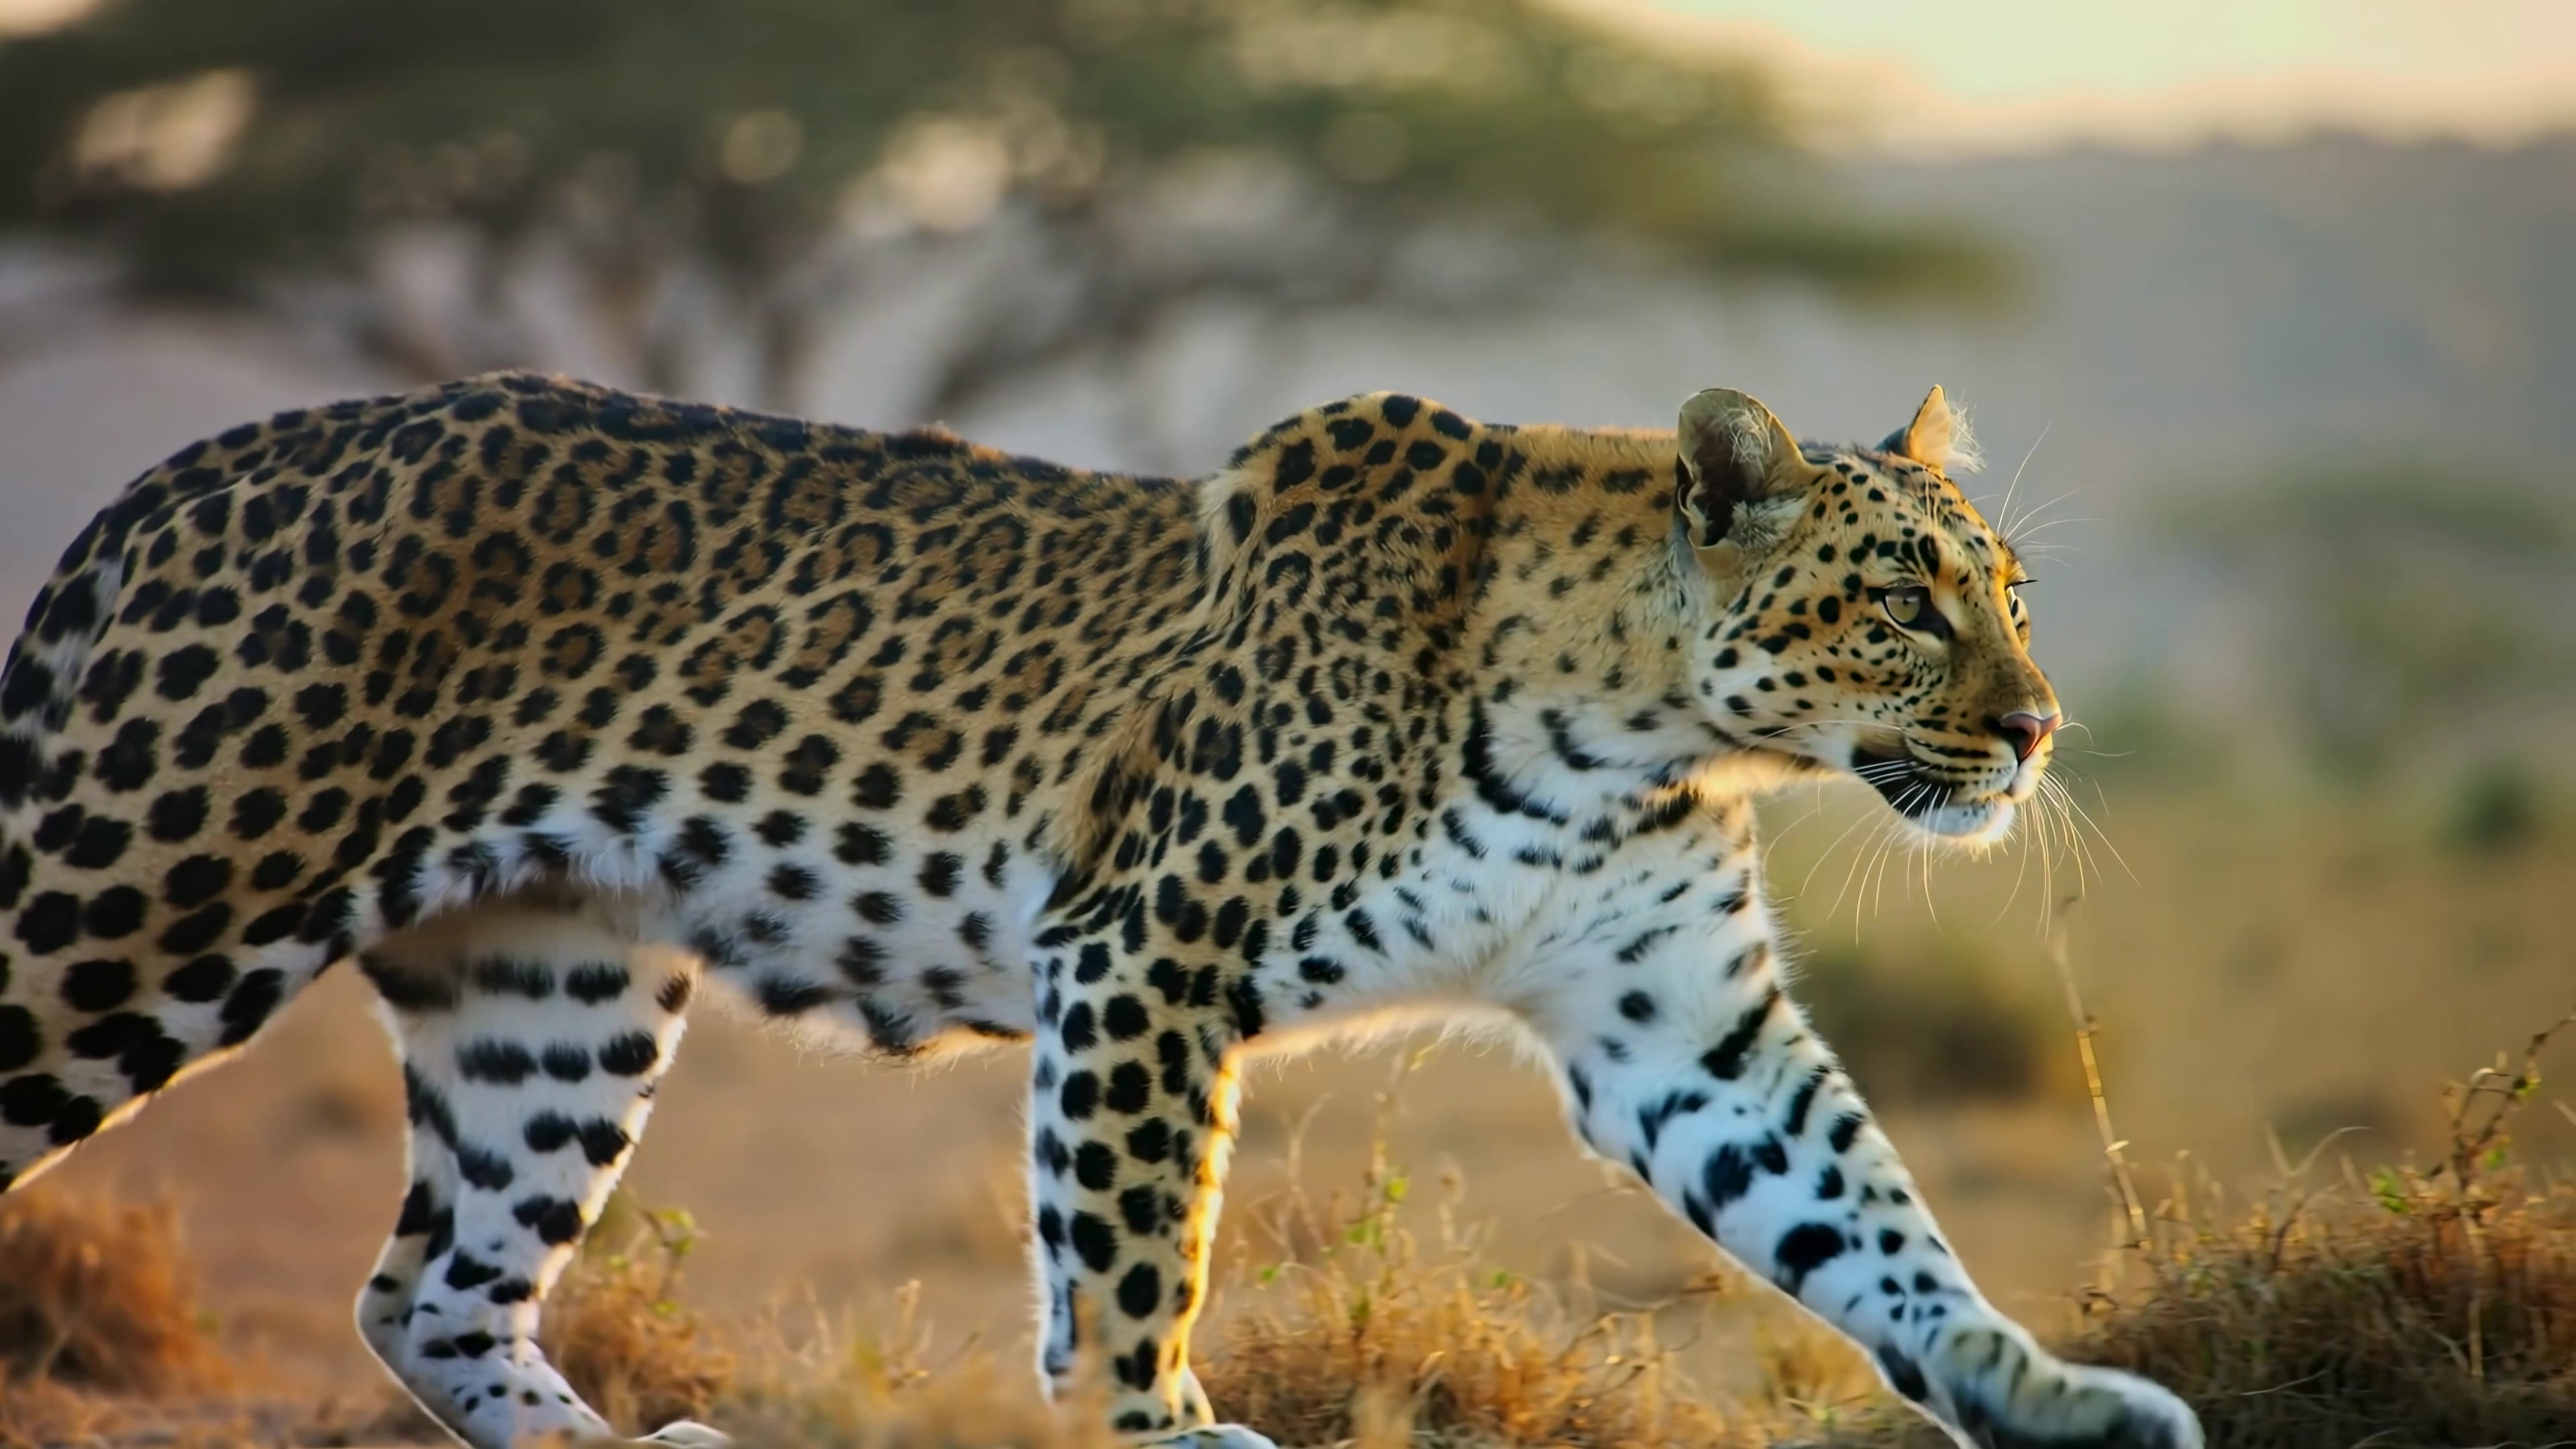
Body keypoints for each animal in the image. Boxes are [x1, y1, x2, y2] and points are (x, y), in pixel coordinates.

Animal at [0, 370, 2200, 1449]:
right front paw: (1160, 1428)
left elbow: (1874, 1228)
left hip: (550, 986)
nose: (2036, 727)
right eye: (1903, 596)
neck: (1643, 722)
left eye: (2006, 588)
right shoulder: (1146, 952)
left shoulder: (1686, 1033)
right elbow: (1136, 1255)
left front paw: (2049, 1400)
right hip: (140, 890)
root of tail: (186, 472)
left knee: (432, 1287)